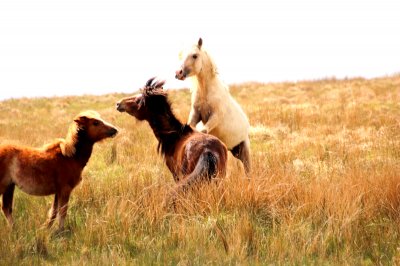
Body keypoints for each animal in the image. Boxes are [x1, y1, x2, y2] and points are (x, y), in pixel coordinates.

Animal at [174, 38, 250, 175]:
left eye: (194, 55)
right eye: (181, 55)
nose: (179, 73)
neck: (207, 92)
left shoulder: (215, 117)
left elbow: (203, 130)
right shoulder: (195, 114)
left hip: (244, 149)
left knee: (248, 169)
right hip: (235, 151)